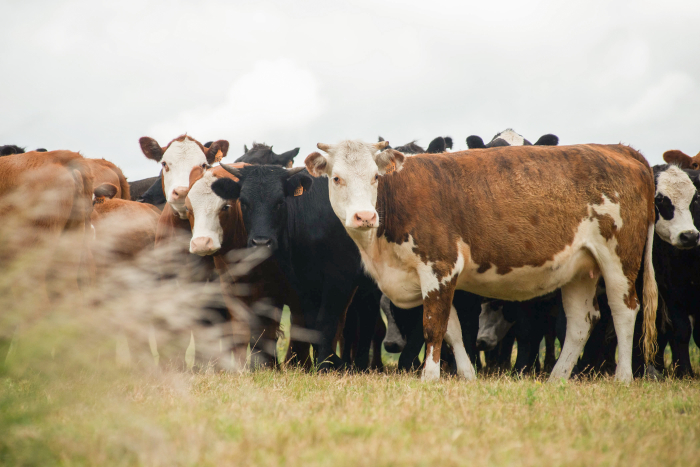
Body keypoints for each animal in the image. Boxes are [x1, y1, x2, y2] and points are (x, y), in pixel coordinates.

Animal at [211, 164, 384, 371]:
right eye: (244, 202)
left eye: (279, 202)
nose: (261, 242)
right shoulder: (303, 283)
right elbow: (311, 323)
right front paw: (328, 361)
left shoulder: (339, 278)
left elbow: (326, 321)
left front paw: (325, 365)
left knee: (367, 321)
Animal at [305, 141, 658, 382]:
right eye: (336, 178)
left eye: (375, 177)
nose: (364, 216)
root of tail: (620, 149)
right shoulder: (434, 277)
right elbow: (453, 330)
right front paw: (466, 375)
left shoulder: (439, 265)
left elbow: (433, 326)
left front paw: (429, 377)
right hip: (580, 268)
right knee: (581, 321)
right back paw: (557, 378)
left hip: (619, 258)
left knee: (624, 311)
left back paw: (623, 378)